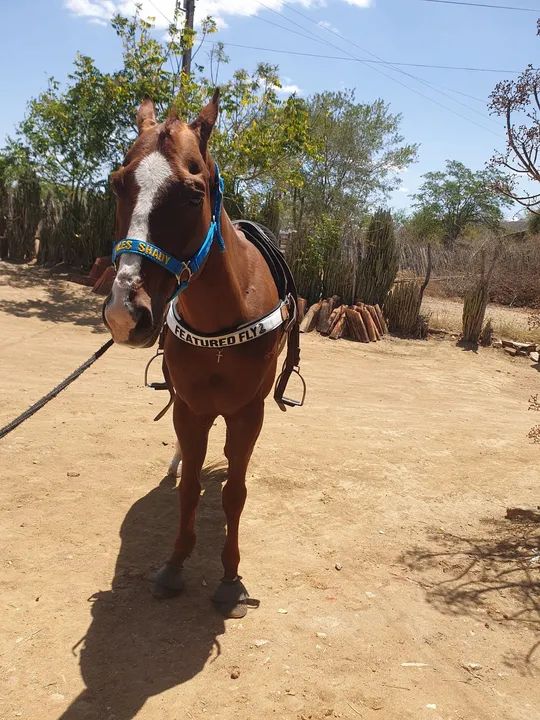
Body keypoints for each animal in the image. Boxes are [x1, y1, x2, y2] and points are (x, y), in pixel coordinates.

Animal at [103, 89, 303, 618]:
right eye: (117, 184)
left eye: (194, 194)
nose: (125, 313)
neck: (219, 324)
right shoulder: (192, 409)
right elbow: (190, 489)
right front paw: (174, 566)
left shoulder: (247, 413)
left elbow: (234, 492)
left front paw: (230, 578)